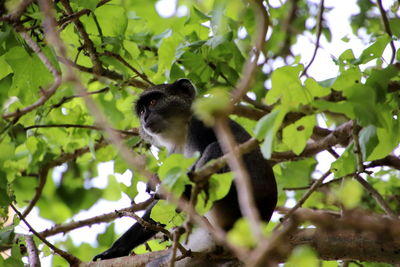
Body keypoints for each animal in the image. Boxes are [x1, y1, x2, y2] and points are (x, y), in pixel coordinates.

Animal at [92, 78, 276, 264]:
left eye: (152, 102)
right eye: (142, 110)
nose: (144, 118)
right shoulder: (173, 152)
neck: (181, 132)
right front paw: (116, 250)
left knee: (217, 149)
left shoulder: (199, 121)